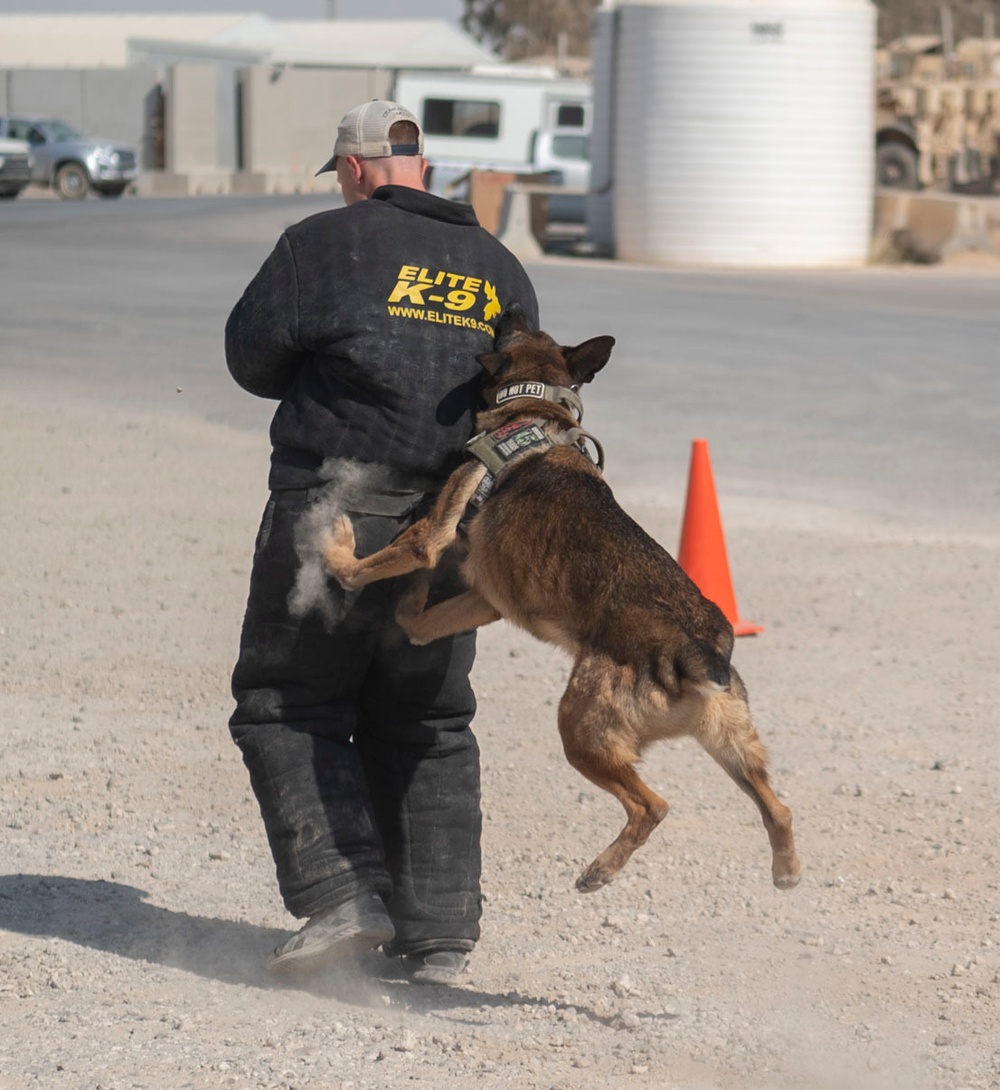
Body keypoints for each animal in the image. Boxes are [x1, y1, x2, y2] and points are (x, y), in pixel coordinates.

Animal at [322, 307, 798, 893]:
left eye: (512, 332)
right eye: (530, 329)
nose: (510, 310)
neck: (535, 413)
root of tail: (693, 651)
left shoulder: (431, 534)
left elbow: (372, 563)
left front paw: (337, 554)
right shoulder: (487, 598)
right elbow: (415, 620)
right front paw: (410, 596)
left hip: (580, 730)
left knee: (653, 806)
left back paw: (602, 868)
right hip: (732, 745)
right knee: (778, 809)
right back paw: (786, 869)